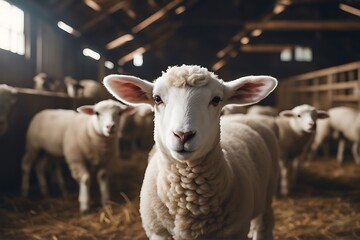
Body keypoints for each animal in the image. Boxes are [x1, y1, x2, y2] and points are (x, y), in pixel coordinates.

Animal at [103, 64, 278, 239]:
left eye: (216, 100)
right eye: (157, 98)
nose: (183, 135)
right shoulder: (158, 232)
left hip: (268, 191)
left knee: (264, 222)